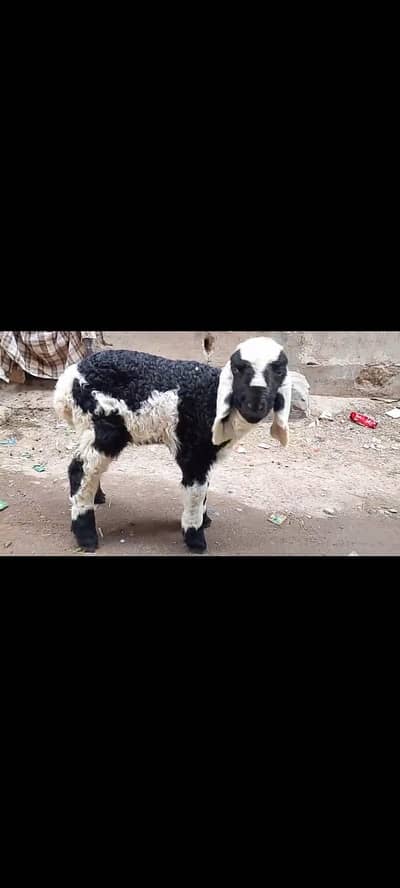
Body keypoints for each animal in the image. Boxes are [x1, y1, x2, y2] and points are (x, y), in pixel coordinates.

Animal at [54, 336, 292, 553]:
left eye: (279, 371)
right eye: (237, 369)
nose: (255, 406)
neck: (210, 396)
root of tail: (68, 379)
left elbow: (205, 489)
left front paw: (204, 519)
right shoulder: (194, 451)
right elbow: (196, 492)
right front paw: (195, 537)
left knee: (90, 469)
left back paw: (97, 497)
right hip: (104, 425)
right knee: (79, 471)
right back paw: (86, 536)